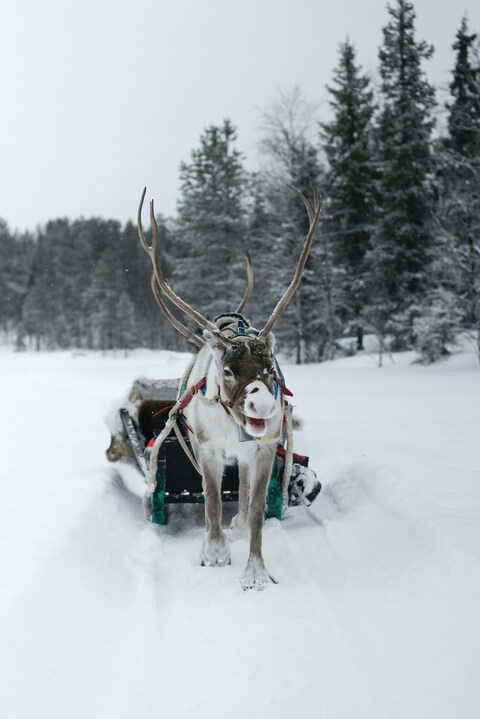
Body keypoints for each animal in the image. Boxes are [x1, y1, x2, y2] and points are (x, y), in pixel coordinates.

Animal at [137, 185, 322, 590]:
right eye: (227, 370)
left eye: (269, 368)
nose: (263, 407)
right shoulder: (206, 450)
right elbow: (211, 503)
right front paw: (215, 552)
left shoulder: (264, 452)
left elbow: (254, 510)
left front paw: (255, 571)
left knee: (244, 490)